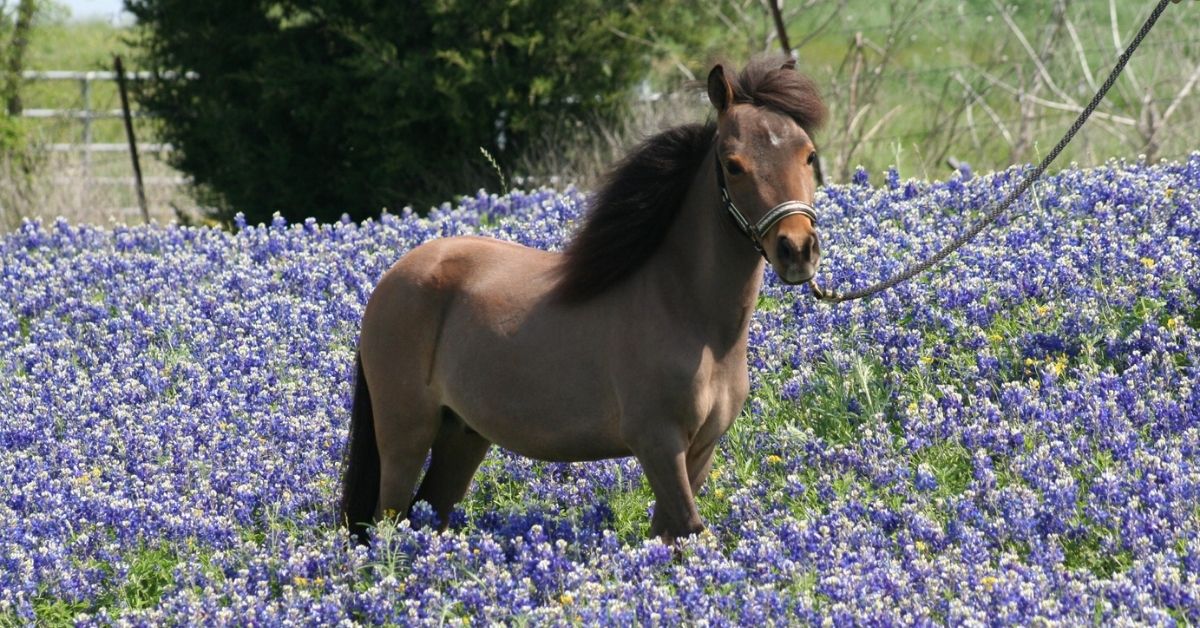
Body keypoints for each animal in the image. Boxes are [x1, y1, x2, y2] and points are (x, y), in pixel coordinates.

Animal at [338, 56, 825, 542]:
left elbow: (668, 534)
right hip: (404, 432)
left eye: (809, 155)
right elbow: (688, 529)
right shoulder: (657, 440)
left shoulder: (700, 448)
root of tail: (392, 277)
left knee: (429, 512)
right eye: (733, 164)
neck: (688, 313)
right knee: (386, 522)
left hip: (462, 434)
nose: (797, 249)